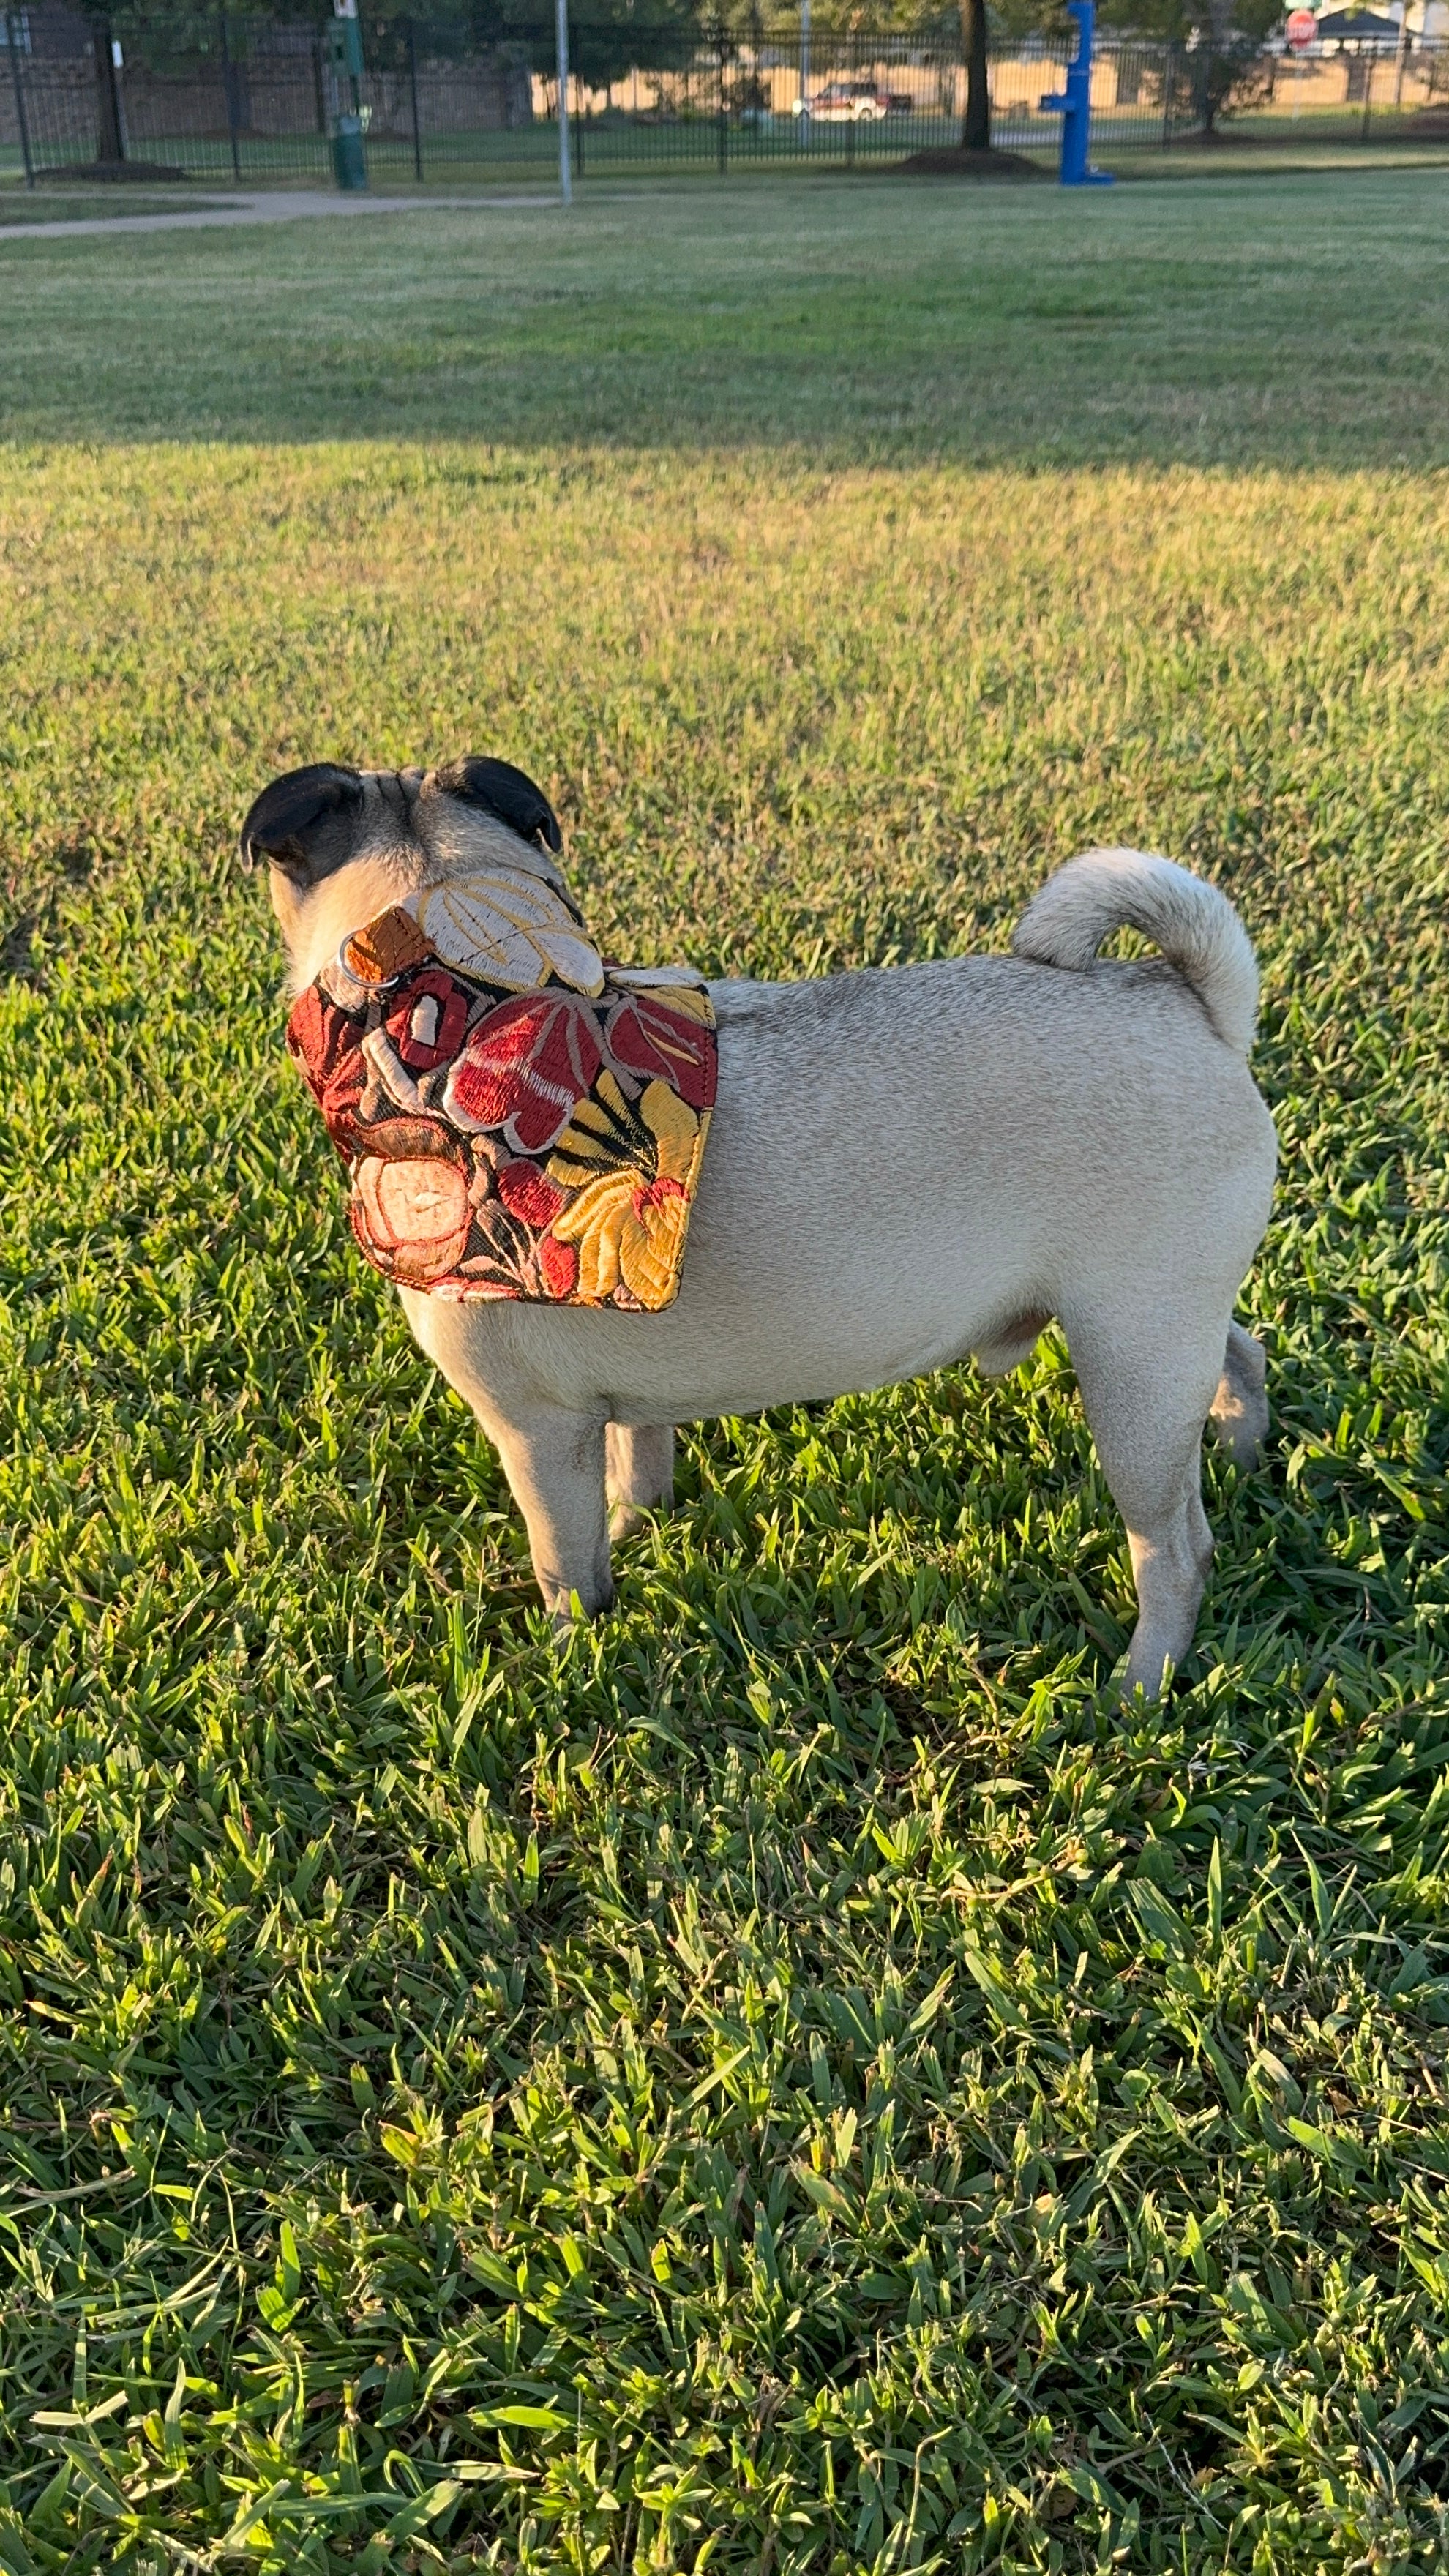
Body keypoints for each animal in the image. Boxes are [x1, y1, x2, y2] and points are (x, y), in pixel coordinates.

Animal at [242, 752, 1268, 1700]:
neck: (475, 992)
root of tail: (1190, 1002)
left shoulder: (535, 1428)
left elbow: (565, 1564)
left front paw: (574, 1660)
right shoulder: (616, 1398)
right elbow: (634, 1468)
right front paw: (642, 1530)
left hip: (1129, 1361)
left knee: (1174, 1548)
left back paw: (1141, 1684)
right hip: (1160, 1323)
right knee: (1239, 1352)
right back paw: (1244, 1450)